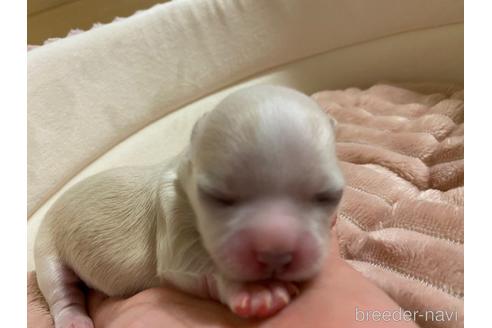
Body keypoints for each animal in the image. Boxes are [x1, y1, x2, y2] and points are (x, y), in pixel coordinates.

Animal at [34, 85, 344, 328]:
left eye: (328, 196)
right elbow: (192, 262)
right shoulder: (171, 217)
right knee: (60, 291)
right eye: (217, 196)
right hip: (47, 249)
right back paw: (73, 319)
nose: (275, 255)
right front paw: (256, 291)